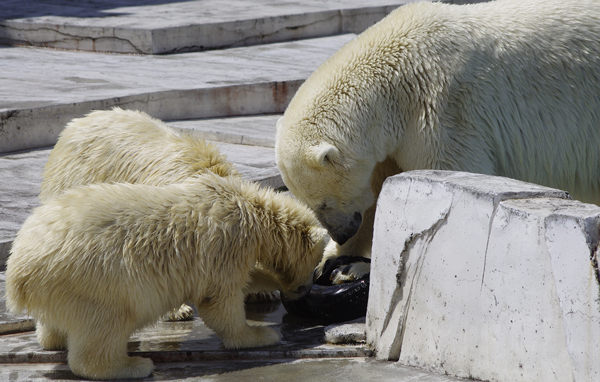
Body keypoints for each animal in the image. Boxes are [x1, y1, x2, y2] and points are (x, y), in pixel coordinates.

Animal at [276, 0, 600, 280]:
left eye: (324, 203)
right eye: (310, 204)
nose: (341, 234)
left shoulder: (441, 110)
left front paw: (358, 267)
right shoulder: (391, 140)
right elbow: (375, 192)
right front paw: (332, 262)